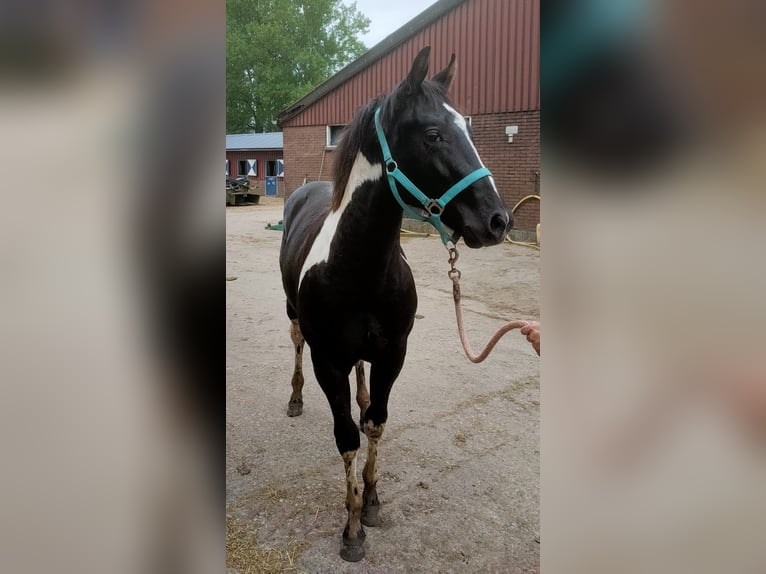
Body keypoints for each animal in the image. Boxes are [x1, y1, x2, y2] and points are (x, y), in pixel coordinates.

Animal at [280, 46, 512, 564]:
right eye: (433, 134)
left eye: (469, 128)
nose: (498, 220)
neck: (358, 266)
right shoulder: (329, 362)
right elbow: (347, 436)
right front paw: (350, 530)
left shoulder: (393, 354)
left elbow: (375, 425)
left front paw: (372, 501)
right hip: (294, 319)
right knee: (297, 346)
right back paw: (296, 398)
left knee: (362, 382)